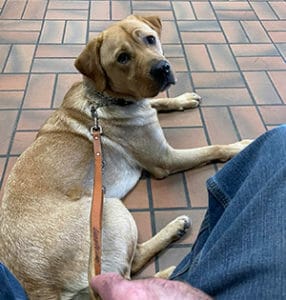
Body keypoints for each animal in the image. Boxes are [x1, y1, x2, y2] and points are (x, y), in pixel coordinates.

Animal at [0, 14, 250, 300]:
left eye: (150, 39)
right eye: (122, 57)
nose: (162, 68)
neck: (105, 98)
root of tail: (40, 288)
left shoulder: (146, 104)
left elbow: (158, 102)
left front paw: (182, 99)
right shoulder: (165, 159)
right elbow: (211, 148)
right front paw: (239, 146)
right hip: (109, 208)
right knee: (129, 270)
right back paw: (174, 260)